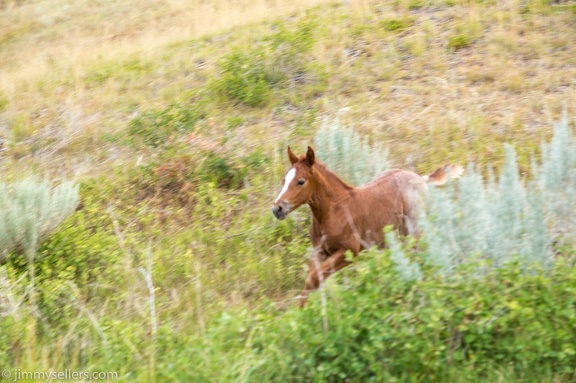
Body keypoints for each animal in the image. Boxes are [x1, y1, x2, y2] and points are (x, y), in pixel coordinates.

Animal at [272, 146, 464, 308]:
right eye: (283, 180)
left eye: (301, 181)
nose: (277, 209)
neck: (332, 212)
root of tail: (420, 178)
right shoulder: (320, 252)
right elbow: (311, 281)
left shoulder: (349, 251)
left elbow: (314, 278)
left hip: (413, 230)